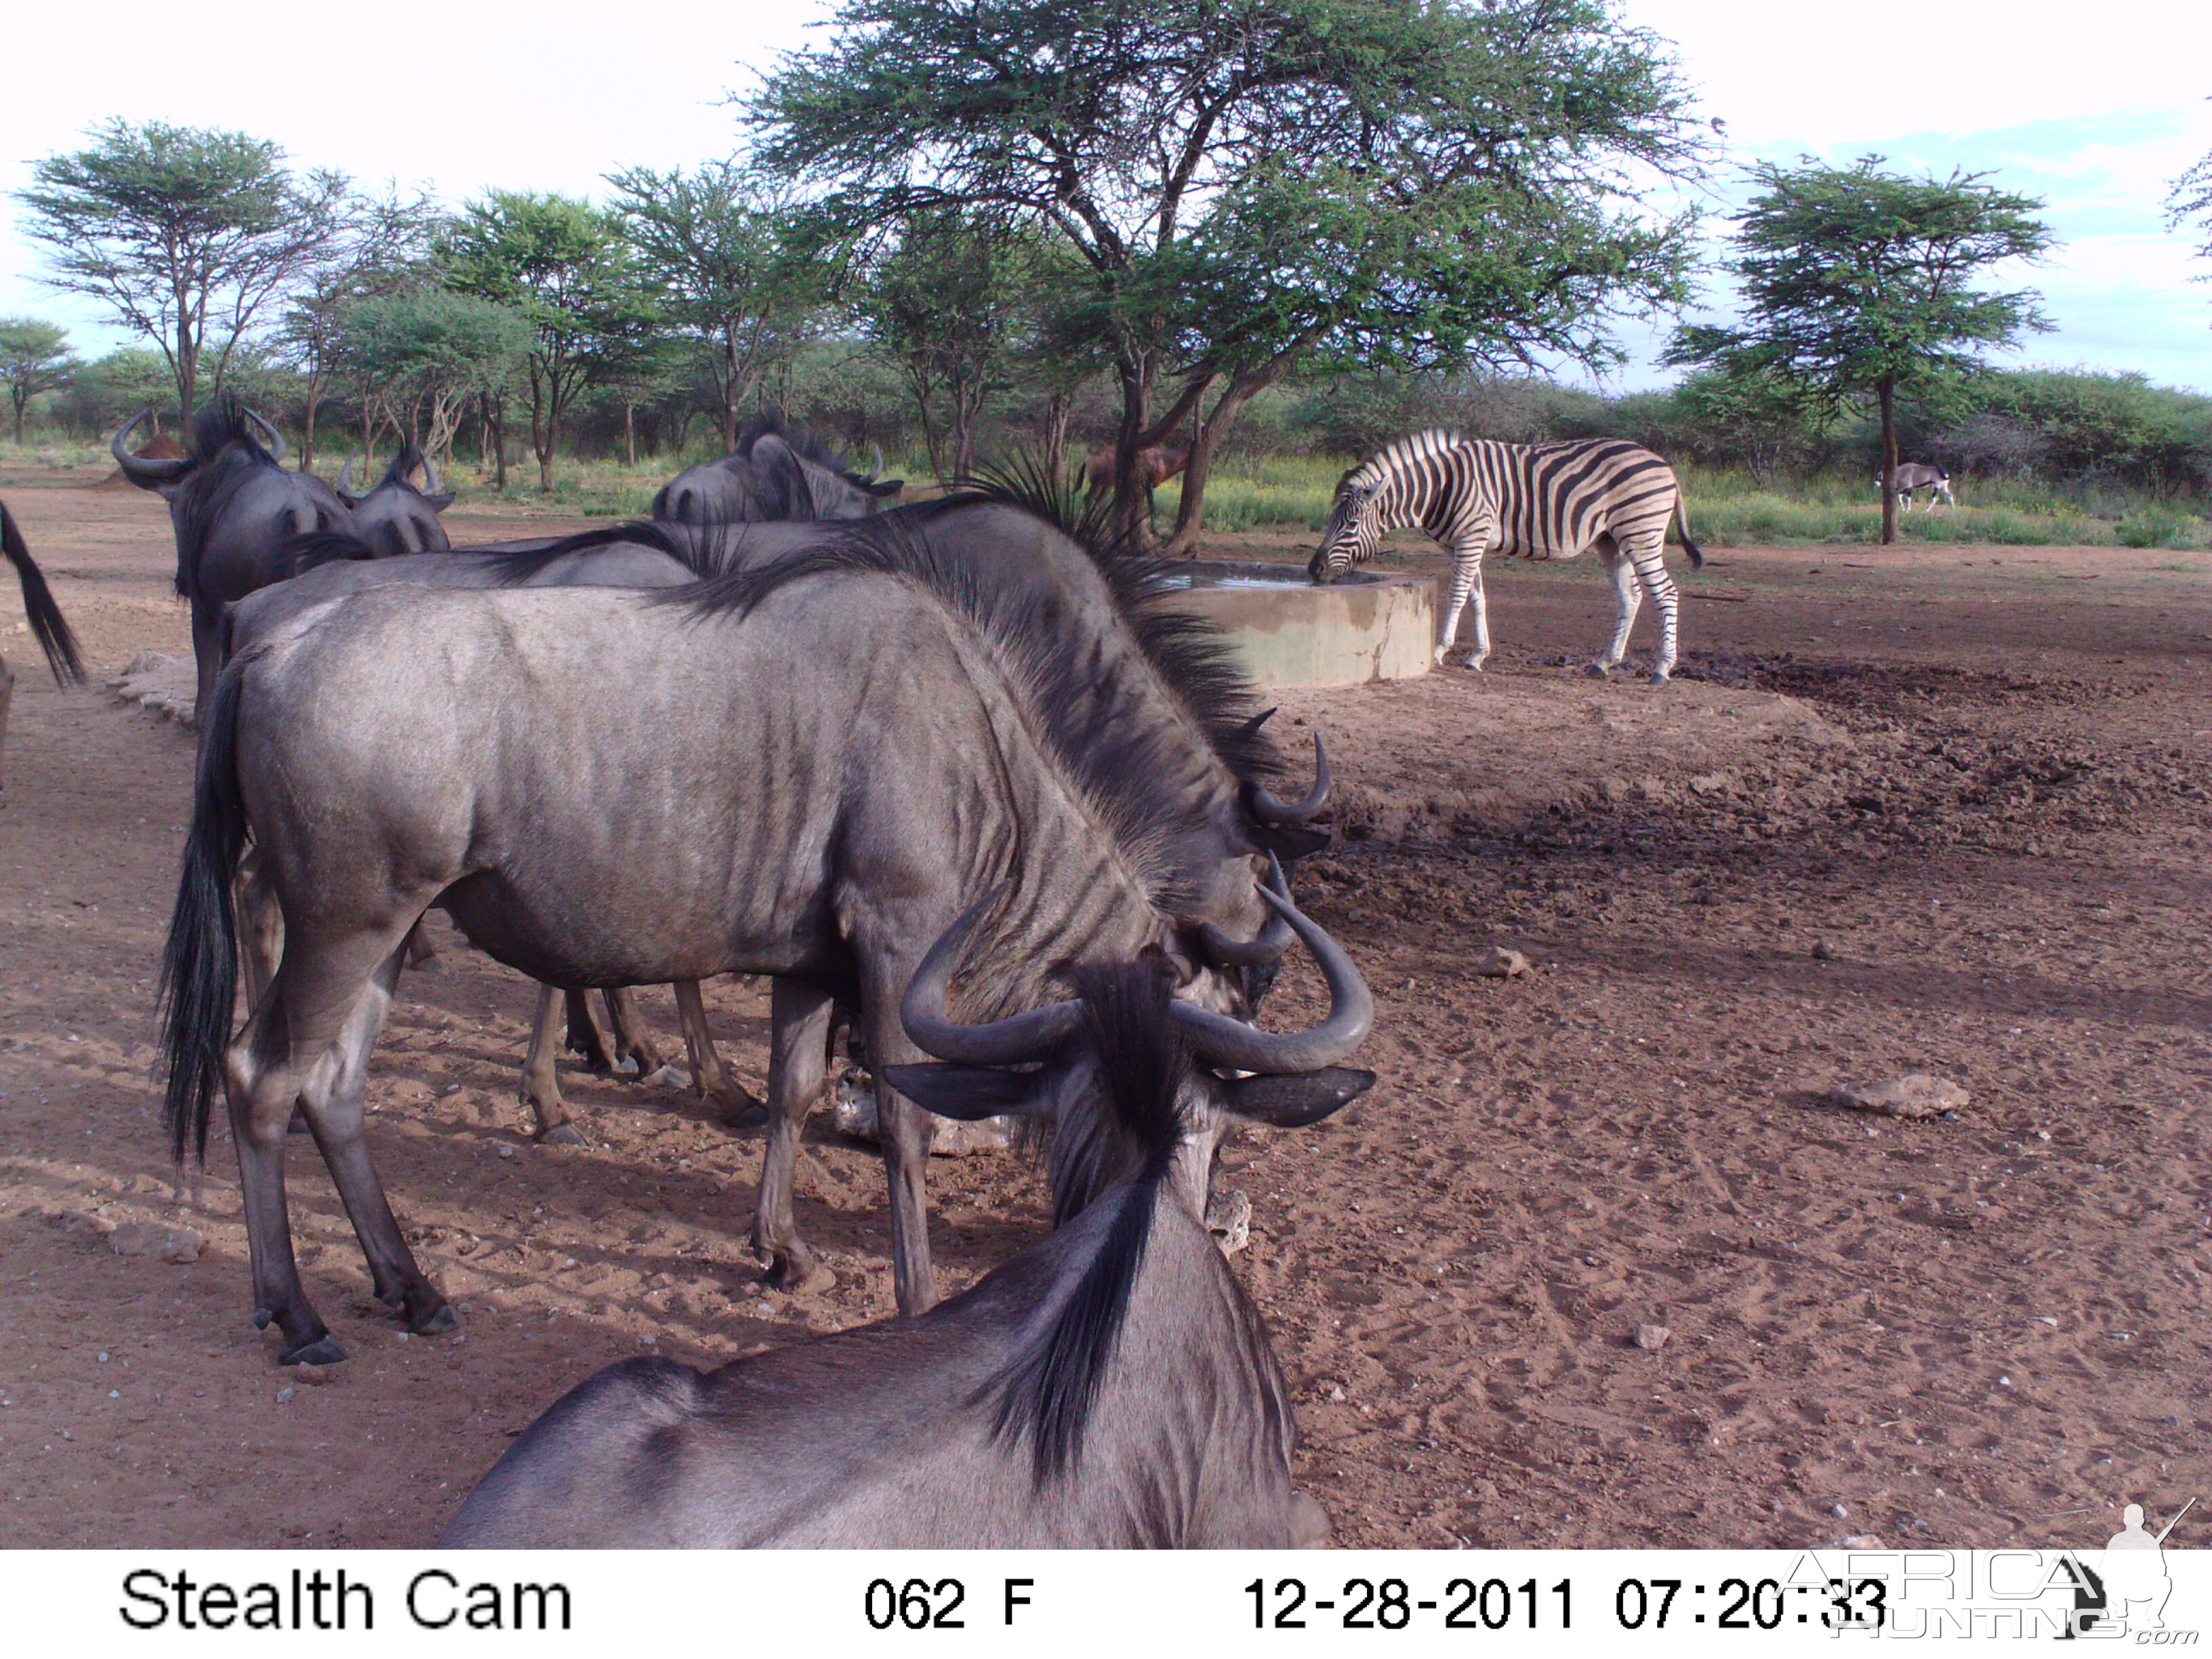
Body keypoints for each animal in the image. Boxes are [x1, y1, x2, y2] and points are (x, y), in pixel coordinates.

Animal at [1309, 436, 1707, 690]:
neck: (1440, 487)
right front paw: (1477, 656)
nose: (1314, 571)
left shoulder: (1471, 536)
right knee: (1631, 597)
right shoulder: (1460, 544)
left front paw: (1439, 651)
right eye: (1330, 520)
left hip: (1641, 534)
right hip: (1611, 541)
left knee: (1666, 594)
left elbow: (1457, 595)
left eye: (1351, 525)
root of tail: (1665, 465)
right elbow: (1476, 597)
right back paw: (1604, 663)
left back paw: (1662, 669)